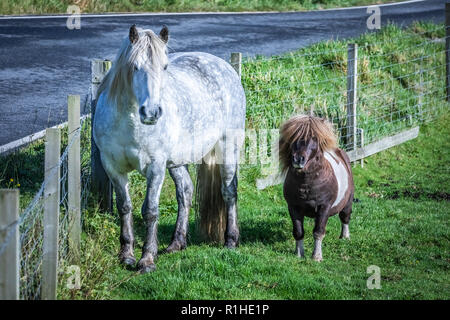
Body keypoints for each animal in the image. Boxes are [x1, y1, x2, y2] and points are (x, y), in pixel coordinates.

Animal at [92, 24, 246, 272]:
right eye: (135, 66)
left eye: (164, 67)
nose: (151, 113)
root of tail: (225, 66)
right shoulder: (113, 167)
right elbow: (124, 207)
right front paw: (126, 255)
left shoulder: (155, 167)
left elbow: (150, 211)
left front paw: (147, 259)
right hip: (176, 161)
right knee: (185, 191)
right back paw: (176, 243)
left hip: (227, 147)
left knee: (229, 192)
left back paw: (230, 241)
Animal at [278, 116, 356, 262]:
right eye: (293, 136)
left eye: (314, 138)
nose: (298, 159)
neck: (306, 184)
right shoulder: (293, 207)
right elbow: (298, 231)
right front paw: (299, 254)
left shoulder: (324, 207)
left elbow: (318, 232)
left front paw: (317, 256)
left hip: (348, 201)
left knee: (345, 217)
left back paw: (345, 237)